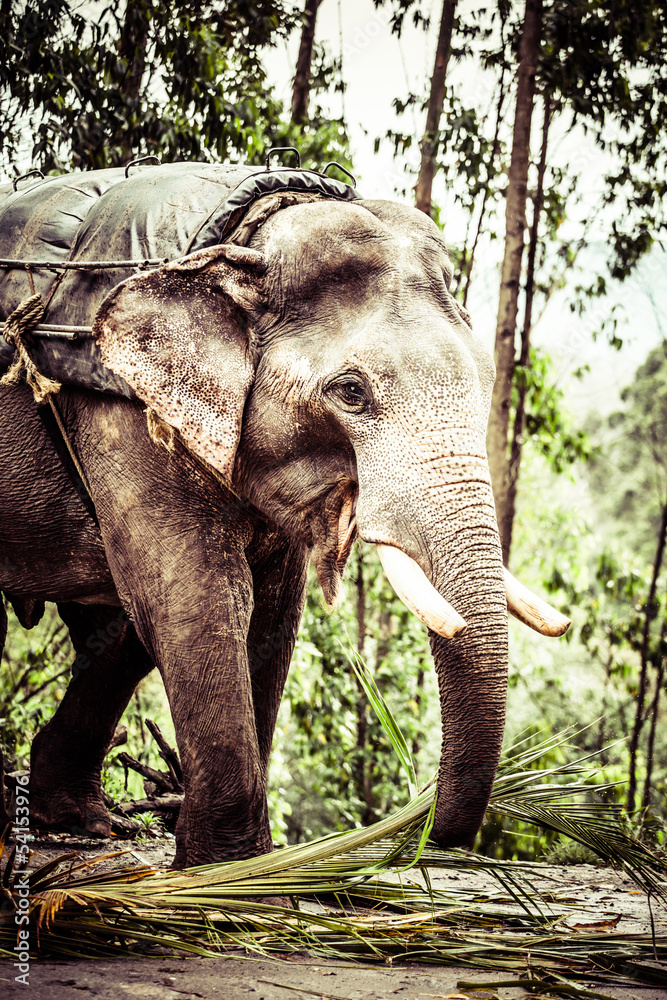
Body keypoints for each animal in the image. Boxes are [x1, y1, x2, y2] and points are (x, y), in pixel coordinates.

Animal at [0, 162, 569, 867]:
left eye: (488, 379)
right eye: (350, 392)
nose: (425, 837)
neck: (248, 234)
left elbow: (270, 611)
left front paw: (237, 867)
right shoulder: (119, 409)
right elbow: (196, 597)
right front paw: (227, 872)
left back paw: (83, 822)